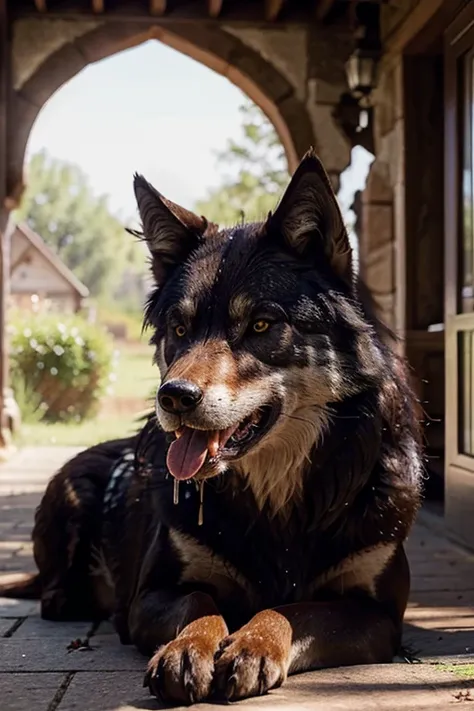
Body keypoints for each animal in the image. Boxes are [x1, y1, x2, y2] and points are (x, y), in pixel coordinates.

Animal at [0, 152, 422, 708]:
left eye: (261, 325)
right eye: (179, 329)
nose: (174, 397)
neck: (279, 504)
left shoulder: (377, 615)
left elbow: (295, 609)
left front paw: (254, 643)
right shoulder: (149, 597)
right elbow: (199, 600)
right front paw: (189, 648)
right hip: (69, 493)